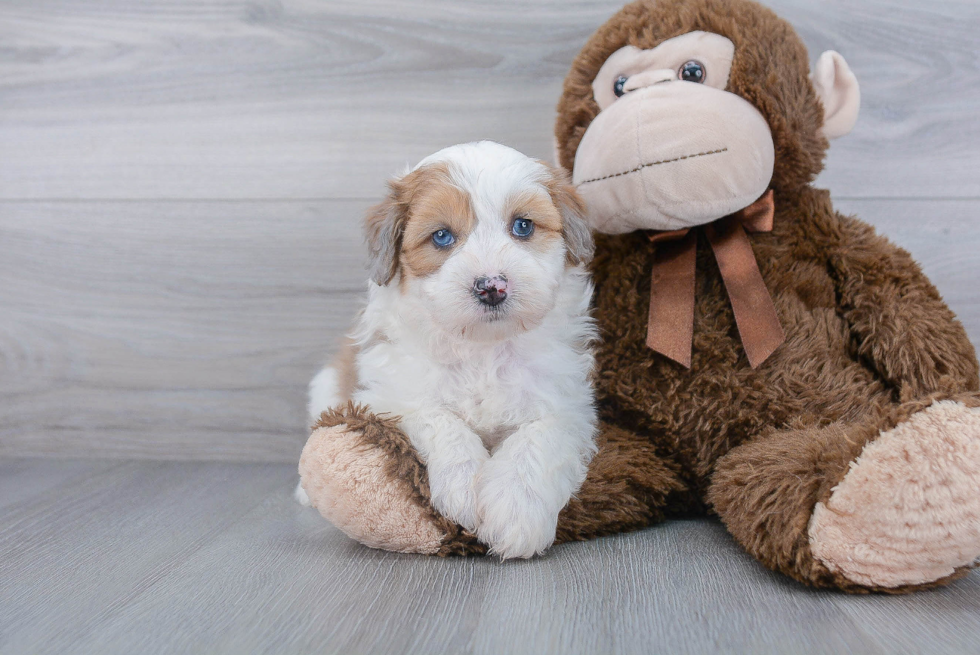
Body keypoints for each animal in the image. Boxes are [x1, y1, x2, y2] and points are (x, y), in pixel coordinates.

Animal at [298, 142, 596, 560]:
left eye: (523, 226)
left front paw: (516, 511)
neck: (482, 349)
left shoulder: (565, 403)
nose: (491, 286)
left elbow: (537, 439)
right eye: (441, 236)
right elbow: (437, 418)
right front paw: (465, 487)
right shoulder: (390, 394)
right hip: (326, 387)